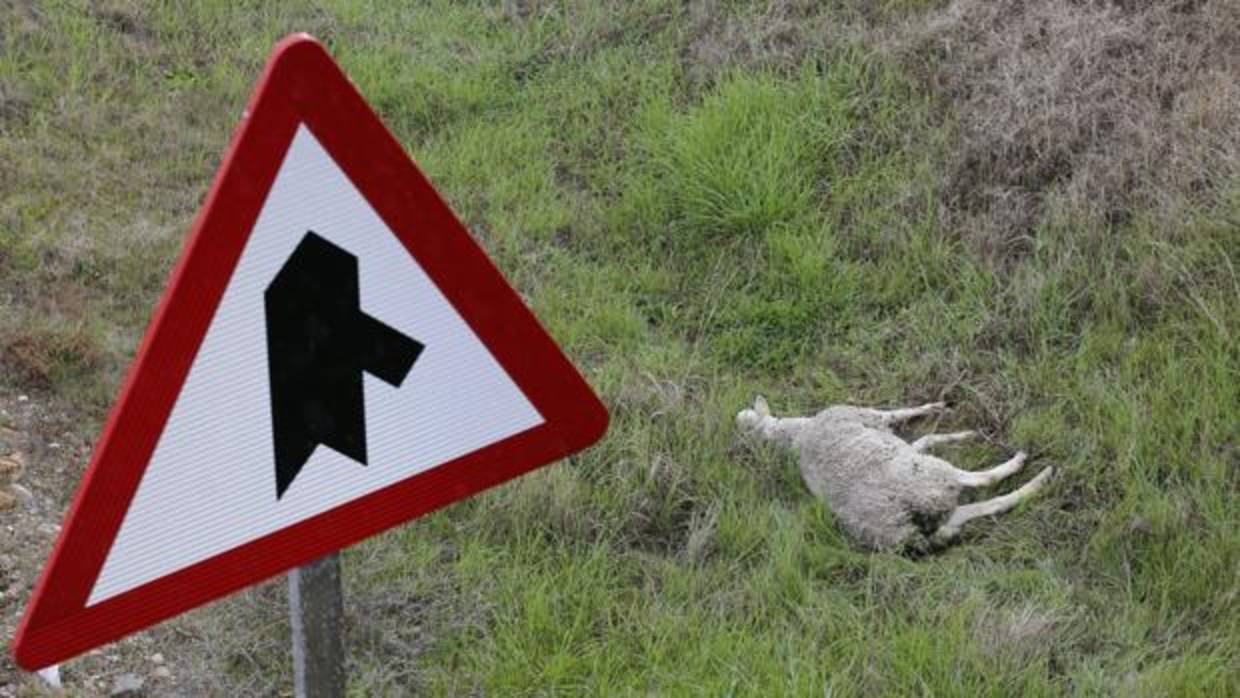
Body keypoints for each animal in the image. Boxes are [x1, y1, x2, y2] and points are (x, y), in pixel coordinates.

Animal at [736, 397, 1053, 552]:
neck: (794, 434)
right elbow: (902, 413)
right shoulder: (871, 416)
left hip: (941, 508)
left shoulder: (901, 442)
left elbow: (927, 438)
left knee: (988, 505)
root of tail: (906, 530)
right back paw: (1029, 468)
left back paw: (1034, 482)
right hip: (930, 477)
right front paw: (941, 409)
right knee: (982, 481)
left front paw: (961, 433)